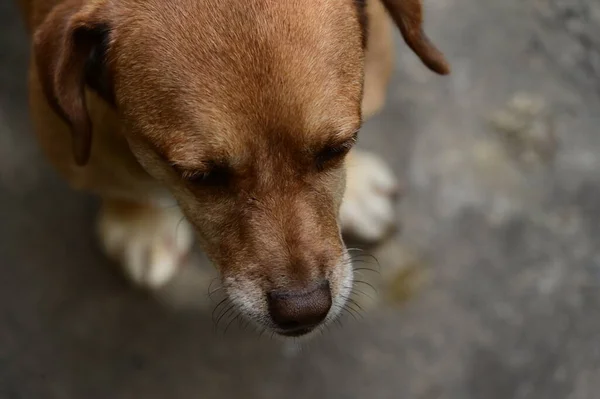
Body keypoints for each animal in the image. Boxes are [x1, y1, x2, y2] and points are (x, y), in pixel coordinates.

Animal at [17, 0, 446, 338]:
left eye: (337, 149)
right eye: (202, 177)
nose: (304, 311)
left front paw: (355, 185)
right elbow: (117, 181)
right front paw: (139, 222)